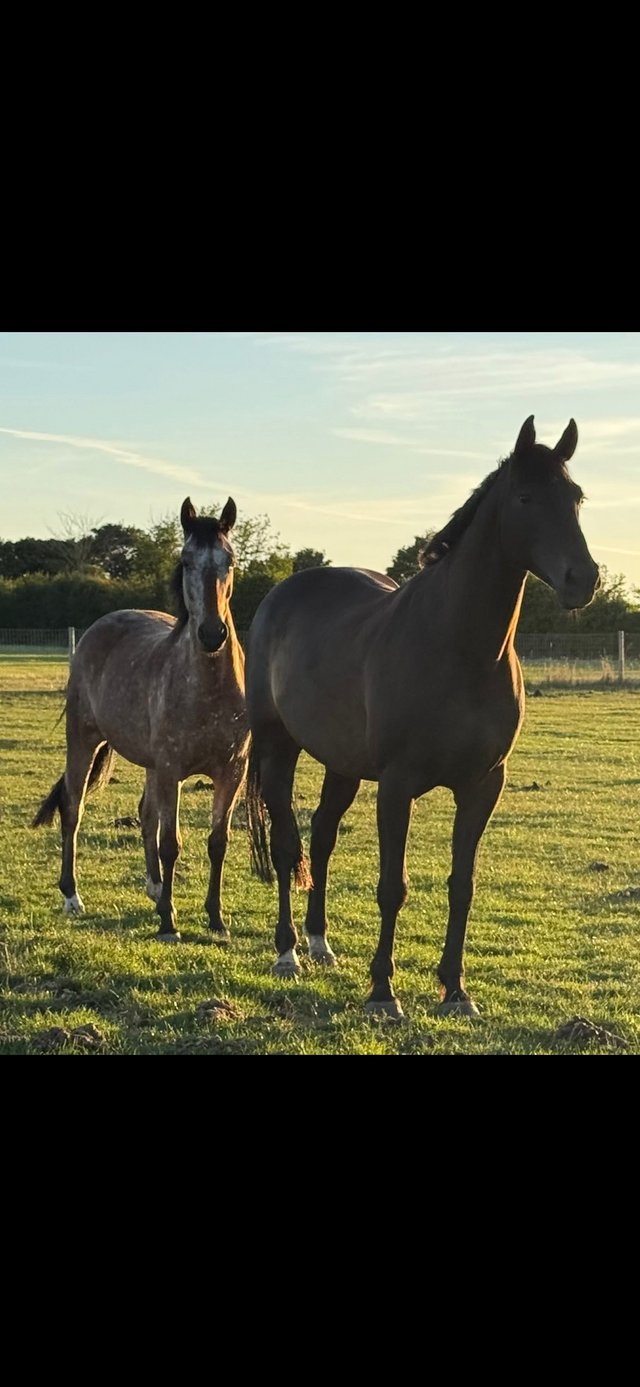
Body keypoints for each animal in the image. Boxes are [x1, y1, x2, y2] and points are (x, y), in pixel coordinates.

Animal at [33, 497, 249, 942]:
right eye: (186, 561)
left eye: (231, 560)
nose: (212, 634)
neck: (209, 688)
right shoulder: (172, 768)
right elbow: (172, 843)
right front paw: (169, 924)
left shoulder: (232, 770)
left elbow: (217, 841)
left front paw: (216, 920)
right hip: (84, 740)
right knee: (73, 808)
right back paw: (72, 896)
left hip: (149, 763)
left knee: (146, 816)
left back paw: (154, 888)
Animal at [245, 417, 600, 1018]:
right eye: (526, 498)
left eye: (576, 497)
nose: (585, 579)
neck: (460, 647)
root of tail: (280, 594)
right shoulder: (397, 784)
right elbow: (393, 886)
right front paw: (383, 994)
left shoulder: (484, 786)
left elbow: (463, 885)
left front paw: (455, 991)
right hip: (277, 748)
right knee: (288, 843)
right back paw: (287, 952)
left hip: (342, 765)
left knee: (322, 838)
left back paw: (320, 944)